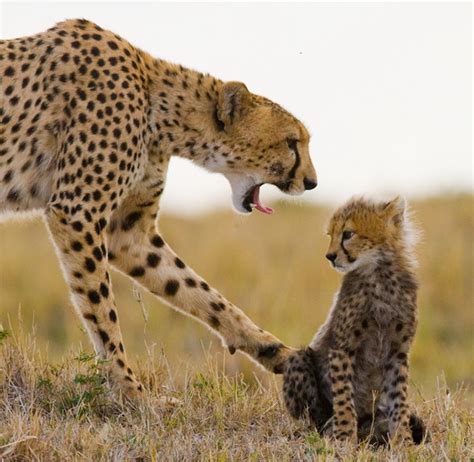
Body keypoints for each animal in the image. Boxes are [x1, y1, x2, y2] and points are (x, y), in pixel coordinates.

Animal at [1, 20, 318, 398]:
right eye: (291, 142)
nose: (312, 182)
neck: (160, 108)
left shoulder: (128, 234)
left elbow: (200, 293)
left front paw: (274, 350)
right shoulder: (77, 211)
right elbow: (102, 311)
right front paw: (130, 392)